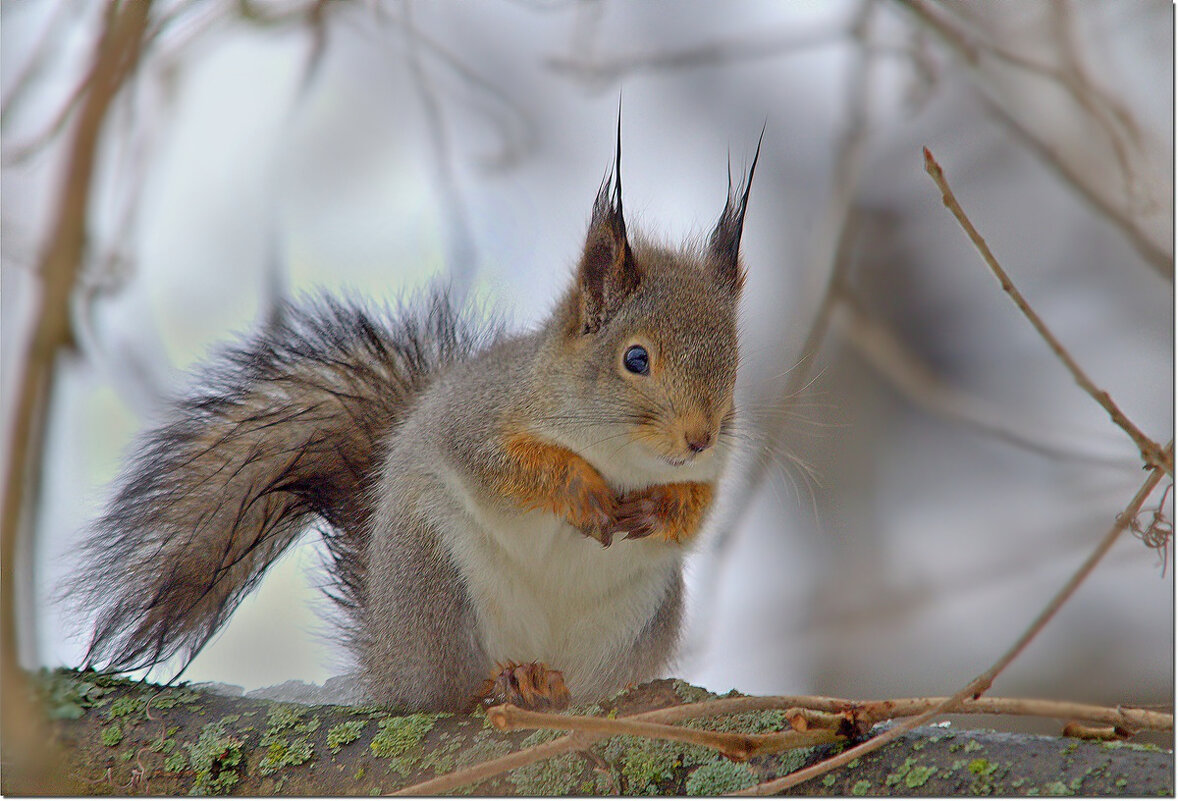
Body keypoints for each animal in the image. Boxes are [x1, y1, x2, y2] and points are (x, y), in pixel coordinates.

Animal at [64, 126, 758, 711]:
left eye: (733, 360)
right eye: (635, 358)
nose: (699, 438)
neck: (618, 454)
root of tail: (388, 662)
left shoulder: (709, 475)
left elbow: (699, 510)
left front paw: (662, 507)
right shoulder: (478, 413)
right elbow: (504, 464)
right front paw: (578, 487)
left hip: (635, 623)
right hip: (434, 580)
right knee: (448, 690)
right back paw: (507, 681)